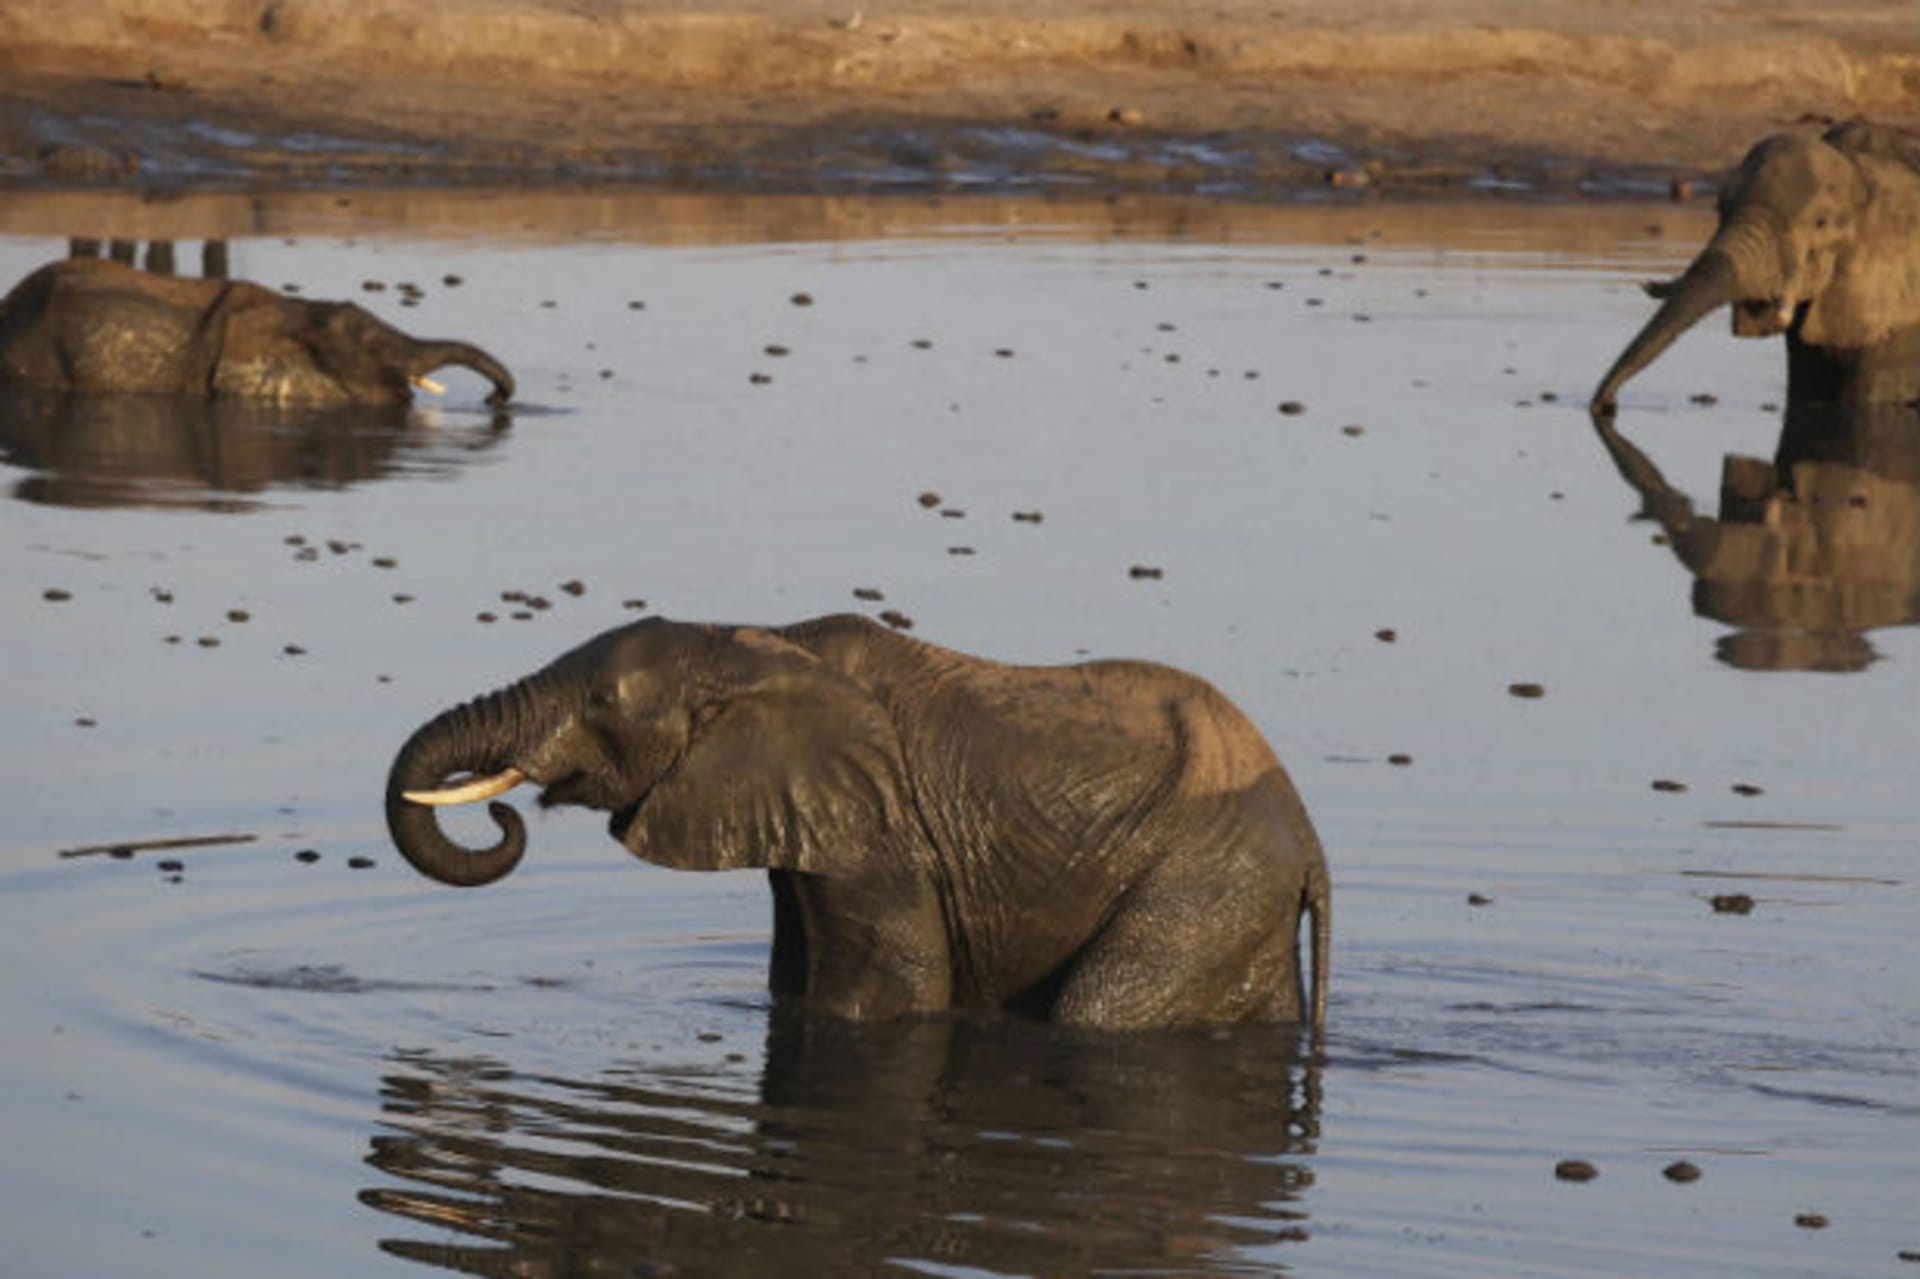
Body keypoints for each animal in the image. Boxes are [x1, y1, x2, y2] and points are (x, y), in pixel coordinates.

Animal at [385, 613, 1330, 1033]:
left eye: (603, 703)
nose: (505, 810)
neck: (755, 642)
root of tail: (1311, 843)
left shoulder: (883, 827)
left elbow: (887, 989)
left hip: (1204, 879)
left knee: (1096, 1012)